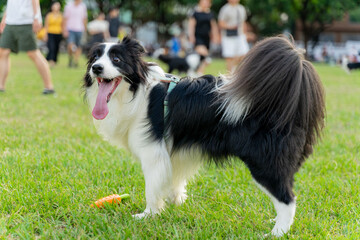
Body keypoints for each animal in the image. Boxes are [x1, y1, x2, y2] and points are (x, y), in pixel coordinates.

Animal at [84, 36, 326, 236]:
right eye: (95, 58)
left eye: (116, 59)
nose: (96, 68)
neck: (137, 91)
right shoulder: (174, 153)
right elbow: (174, 179)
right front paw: (175, 201)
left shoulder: (153, 153)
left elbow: (151, 187)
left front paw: (147, 215)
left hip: (265, 163)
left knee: (287, 199)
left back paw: (278, 232)